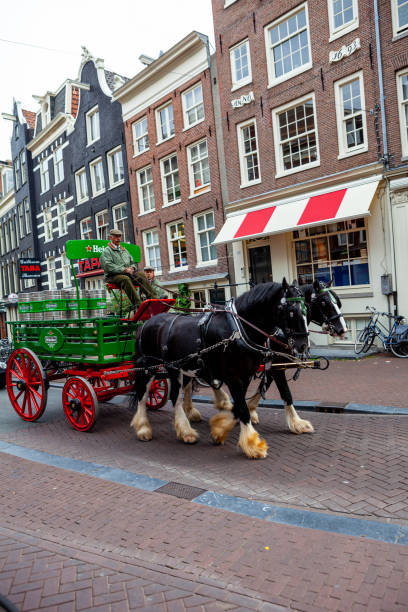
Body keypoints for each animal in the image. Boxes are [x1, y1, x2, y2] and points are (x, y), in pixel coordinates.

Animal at [129, 280, 308, 456]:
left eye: (306, 308)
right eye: (291, 311)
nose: (303, 345)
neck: (239, 329)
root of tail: (145, 323)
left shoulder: (245, 376)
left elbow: (239, 407)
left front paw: (219, 430)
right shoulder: (234, 377)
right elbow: (243, 408)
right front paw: (253, 445)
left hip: (178, 369)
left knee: (175, 396)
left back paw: (186, 431)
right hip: (148, 367)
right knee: (143, 395)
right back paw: (144, 429)